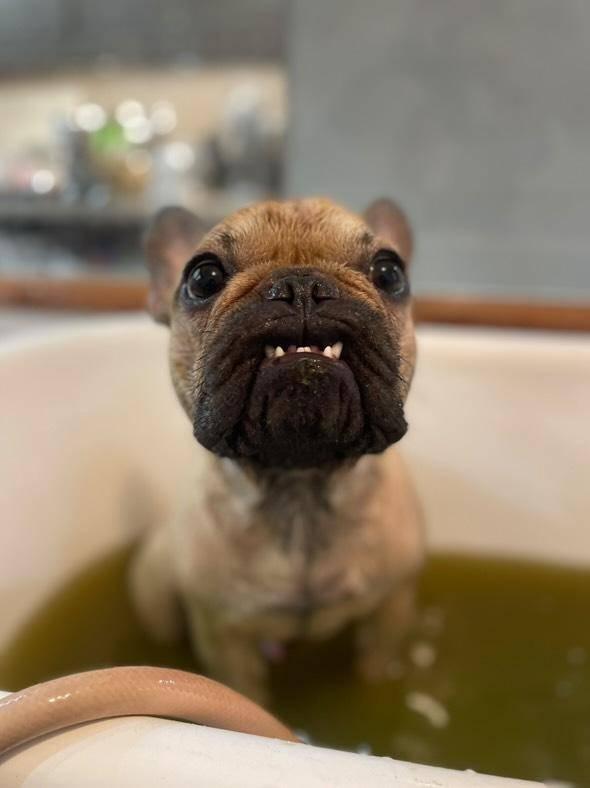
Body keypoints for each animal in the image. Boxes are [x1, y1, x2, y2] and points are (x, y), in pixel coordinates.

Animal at [130, 197, 424, 703]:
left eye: (389, 273)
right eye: (203, 278)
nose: (301, 283)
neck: (299, 482)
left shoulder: (392, 611)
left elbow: (375, 671)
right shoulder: (224, 637)